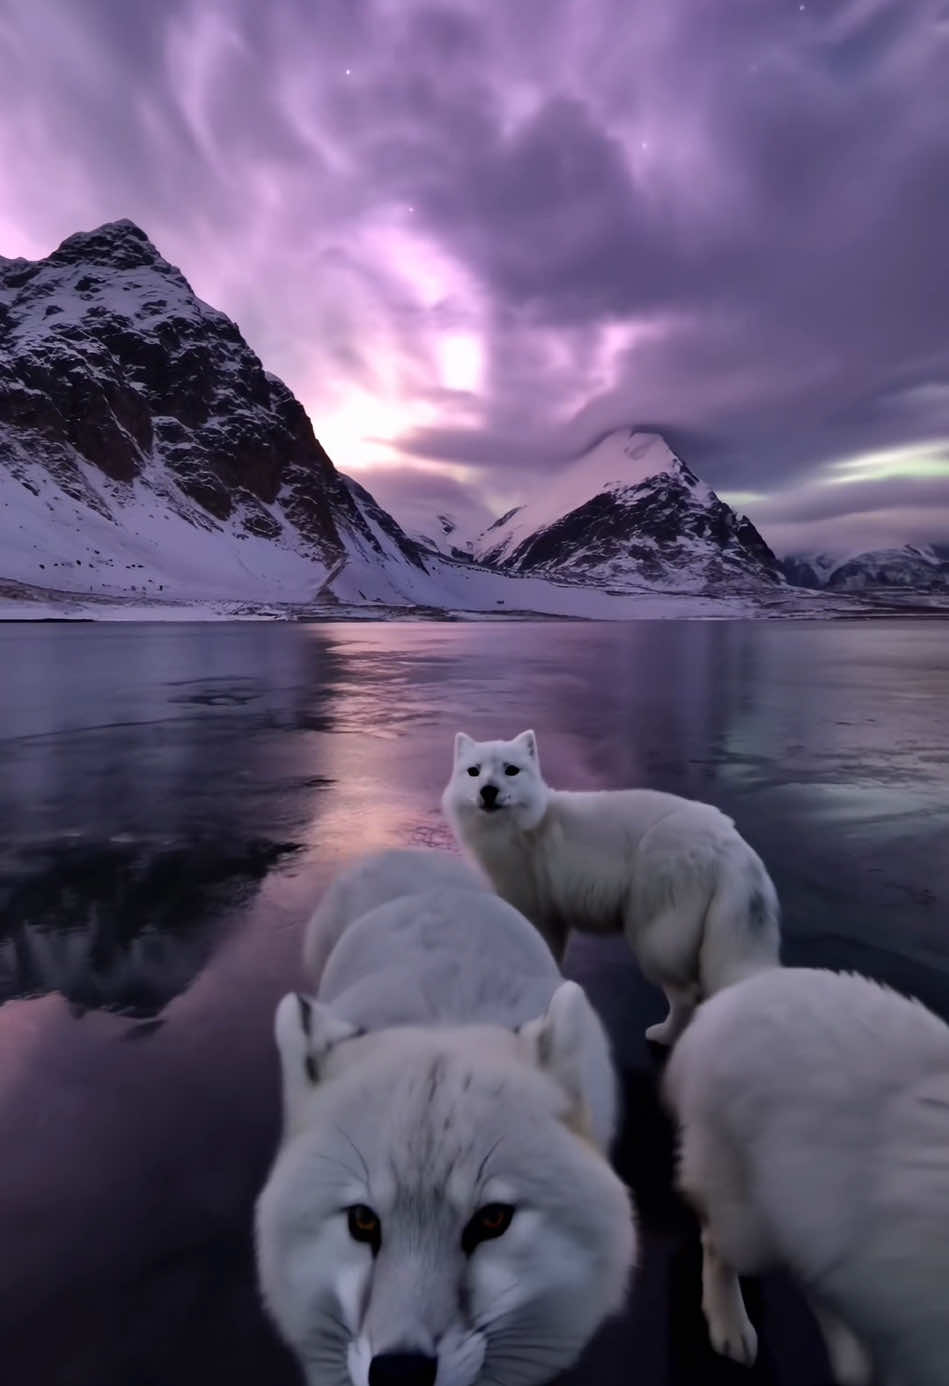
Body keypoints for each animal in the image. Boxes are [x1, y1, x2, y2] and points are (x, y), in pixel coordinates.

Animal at [440, 731, 781, 1042]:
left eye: (511, 770)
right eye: (473, 771)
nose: (488, 791)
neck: (524, 828)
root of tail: (728, 840)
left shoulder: (537, 913)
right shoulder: (554, 920)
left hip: (654, 939)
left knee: (687, 996)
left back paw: (664, 1035)